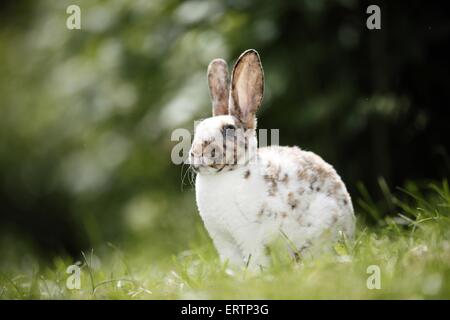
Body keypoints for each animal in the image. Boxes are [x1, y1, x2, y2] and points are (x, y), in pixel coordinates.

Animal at [187, 49, 356, 270]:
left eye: (229, 129)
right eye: (198, 129)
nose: (196, 153)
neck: (224, 175)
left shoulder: (250, 238)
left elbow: (255, 260)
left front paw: (255, 276)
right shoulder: (224, 242)